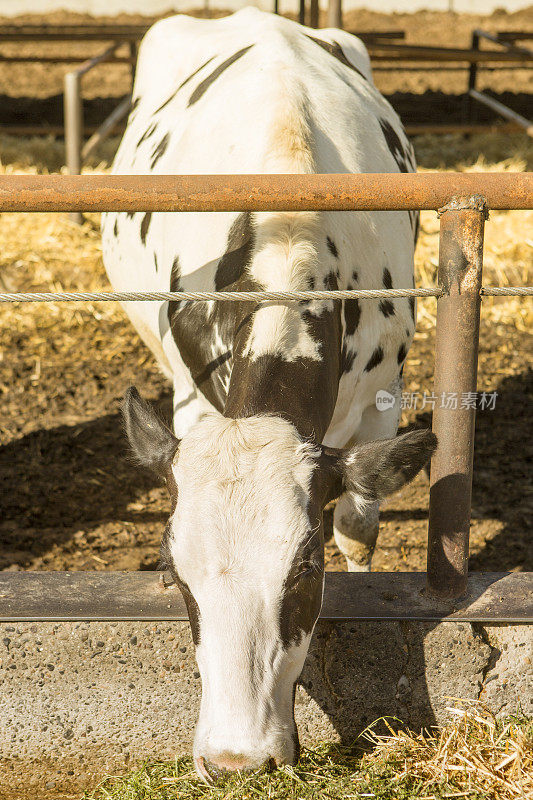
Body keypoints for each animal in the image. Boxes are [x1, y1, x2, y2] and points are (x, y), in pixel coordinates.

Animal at [102, 6, 434, 780]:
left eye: (304, 572)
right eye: (173, 573)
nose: (235, 760)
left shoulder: (383, 397)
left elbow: (358, 525)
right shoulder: (193, 396)